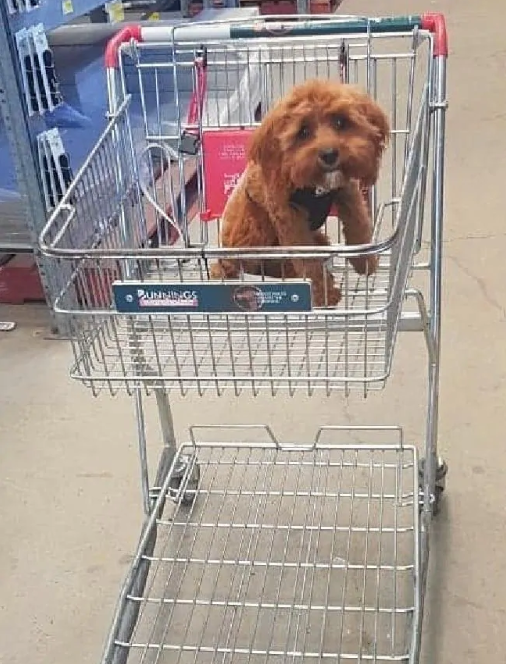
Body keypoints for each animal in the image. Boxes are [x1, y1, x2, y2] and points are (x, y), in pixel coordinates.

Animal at [208, 79, 390, 308]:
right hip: (255, 226)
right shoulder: (290, 219)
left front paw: (365, 261)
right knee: (251, 265)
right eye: (303, 132)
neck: (316, 188)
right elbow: (309, 262)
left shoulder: (347, 192)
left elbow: (358, 225)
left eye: (340, 122)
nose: (329, 154)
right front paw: (324, 295)